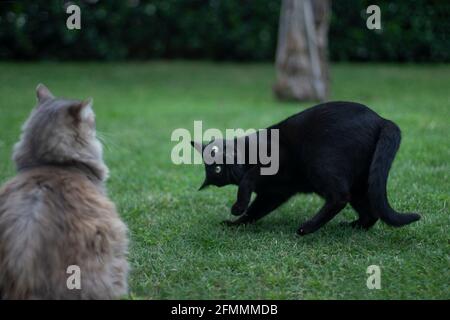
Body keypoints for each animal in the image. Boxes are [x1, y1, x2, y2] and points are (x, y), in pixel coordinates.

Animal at [191, 101, 422, 236]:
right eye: (218, 171)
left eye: (217, 159)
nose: (227, 166)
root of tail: (381, 119)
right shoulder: (274, 193)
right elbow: (256, 211)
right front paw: (236, 223)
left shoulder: (276, 159)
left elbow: (248, 180)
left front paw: (237, 208)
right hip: (360, 182)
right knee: (368, 211)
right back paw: (351, 226)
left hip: (319, 162)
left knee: (340, 197)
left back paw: (306, 228)